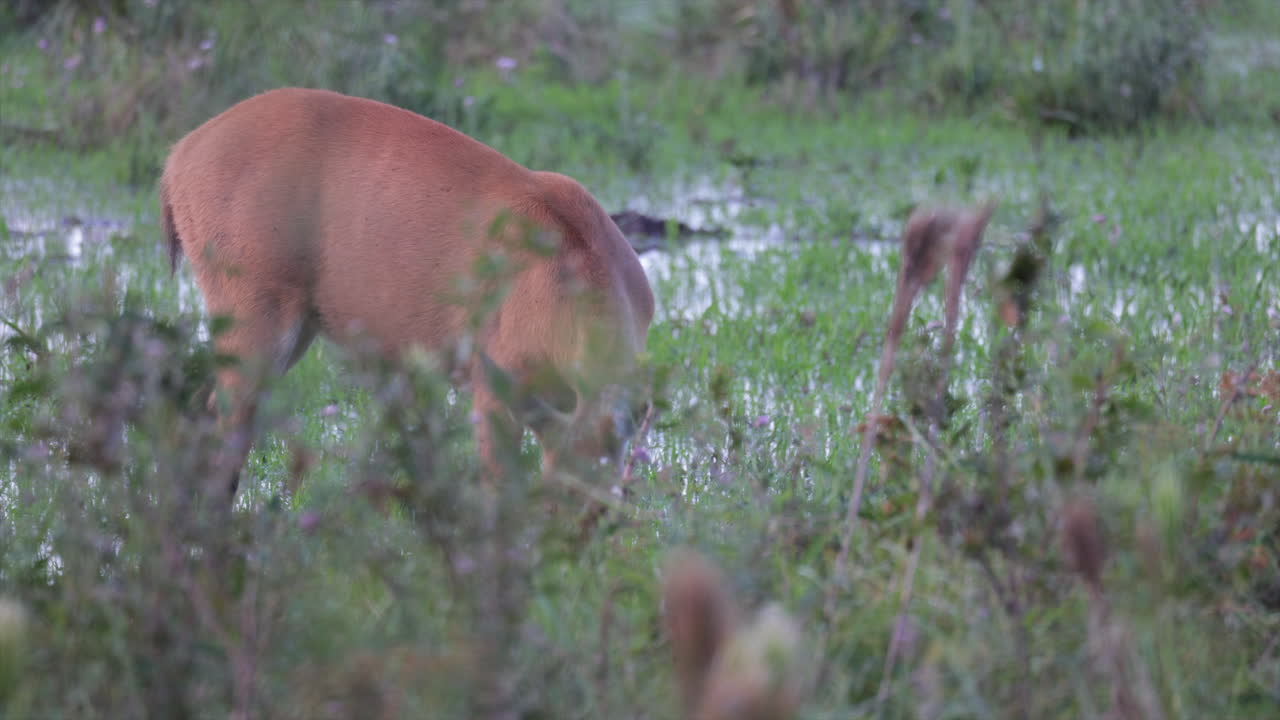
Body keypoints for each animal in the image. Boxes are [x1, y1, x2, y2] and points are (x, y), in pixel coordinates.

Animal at [159, 87, 655, 498]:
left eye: (606, 509)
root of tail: (177, 155)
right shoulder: (492, 378)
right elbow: (499, 490)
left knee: (204, 414)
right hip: (250, 300)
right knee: (222, 423)